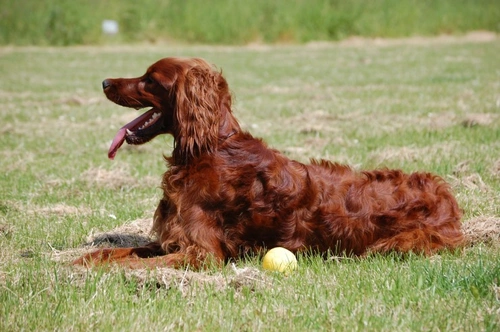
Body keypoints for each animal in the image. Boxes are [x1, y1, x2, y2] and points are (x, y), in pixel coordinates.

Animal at [72, 57, 462, 270]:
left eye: (151, 80)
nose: (104, 82)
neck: (209, 148)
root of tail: (446, 195)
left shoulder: (201, 253)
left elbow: (137, 263)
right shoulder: (173, 240)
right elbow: (120, 251)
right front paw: (80, 261)